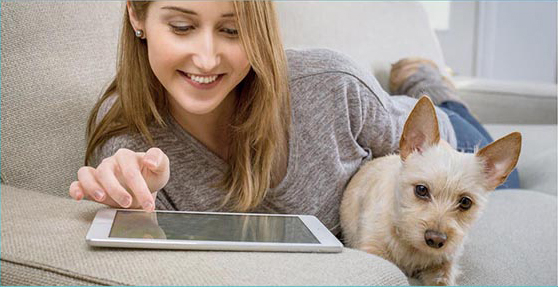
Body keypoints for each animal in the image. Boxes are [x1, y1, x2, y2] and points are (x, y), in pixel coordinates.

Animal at [342, 97, 524, 286]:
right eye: (421, 190)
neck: (410, 245)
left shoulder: (443, 268)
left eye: (466, 202)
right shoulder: (372, 249)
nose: (435, 239)